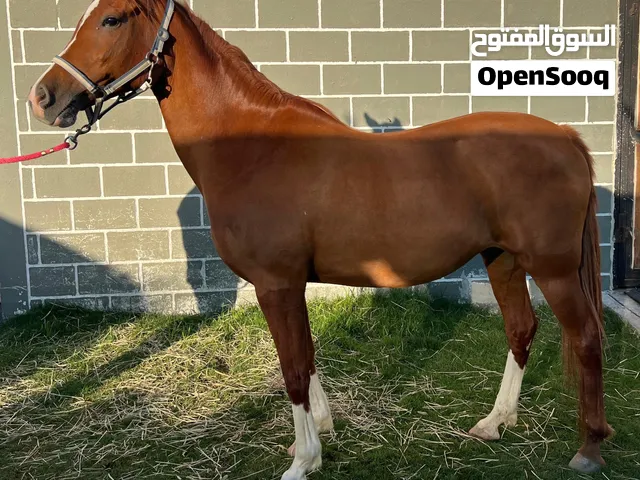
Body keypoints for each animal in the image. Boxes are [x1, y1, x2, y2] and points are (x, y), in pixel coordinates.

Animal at [28, 0, 613, 478]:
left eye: (111, 18)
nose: (43, 97)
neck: (253, 148)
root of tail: (566, 138)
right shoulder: (290, 285)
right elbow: (306, 357)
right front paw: (317, 436)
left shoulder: (276, 284)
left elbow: (292, 367)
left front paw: (303, 460)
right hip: (503, 260)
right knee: (521, 329)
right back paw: (494, 423)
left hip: (554, 269)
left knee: (585, 336)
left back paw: (588, 449)